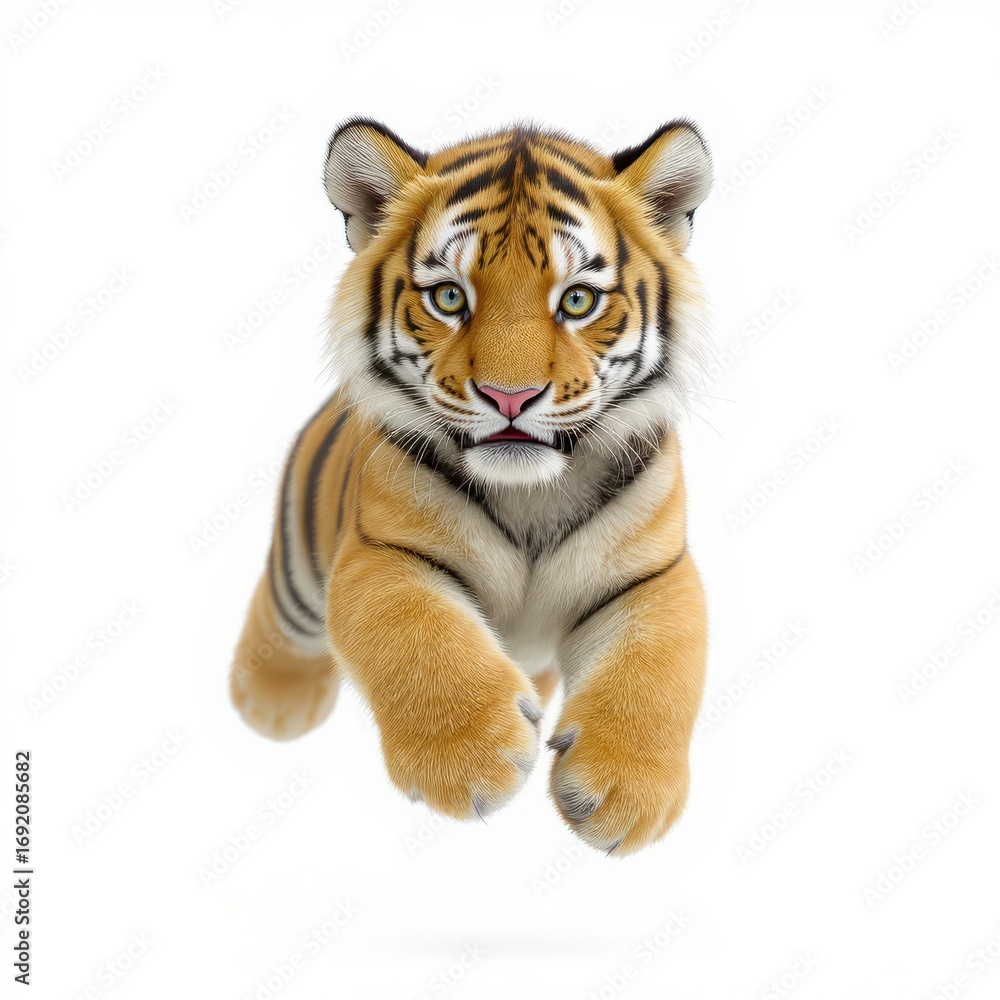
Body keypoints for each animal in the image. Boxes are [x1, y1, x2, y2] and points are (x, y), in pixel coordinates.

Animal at [230, 116, 713, 855]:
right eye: (449, 296)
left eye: (577, 300)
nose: (509, 397)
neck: (532, 492)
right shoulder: (382, 552)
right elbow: (417, 635)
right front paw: (472, 760)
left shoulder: (655, 572)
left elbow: (659, 667)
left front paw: (627, 795)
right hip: (298, 573)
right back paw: (270, 704)